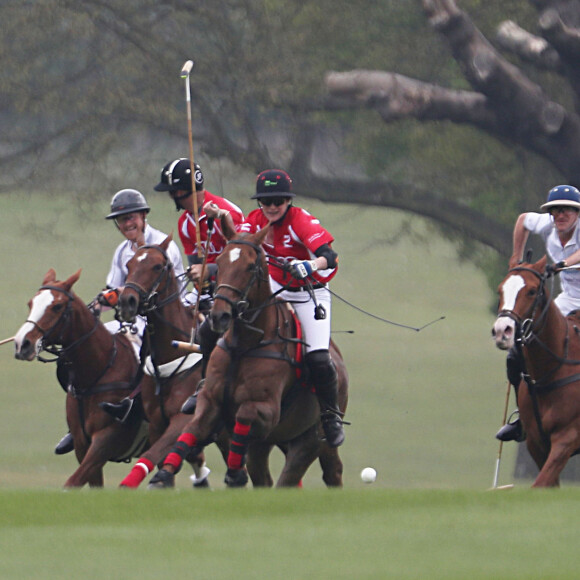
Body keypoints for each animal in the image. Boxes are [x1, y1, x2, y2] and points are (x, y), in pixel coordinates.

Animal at [13, 270, 147, 488]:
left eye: (57, 306)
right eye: (31, 303)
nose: (21, 344)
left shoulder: (105, 441)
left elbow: (72, 483)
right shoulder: (83, 445)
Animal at [116, 237, 228, 490]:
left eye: (158, 266)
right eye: (129, 264)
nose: (127, 302)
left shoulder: (183, 418)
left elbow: (156, 456)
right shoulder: (157, 423)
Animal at [146, 229, 348, 488]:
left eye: (251, 266)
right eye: (220, 261)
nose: (219, 316)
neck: (244, 345)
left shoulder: (266, 410)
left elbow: (244, 414)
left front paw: (234, 472)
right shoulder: (209, 400)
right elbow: (193, 429)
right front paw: (163, 474)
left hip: (311, 440)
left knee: (305, 474)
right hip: (270, 443)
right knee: (267, 478)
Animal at [492, 256, 580, 488]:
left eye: (532, 291)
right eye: (500, 290)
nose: (502, 331)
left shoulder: (567, 436)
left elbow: (540, 483)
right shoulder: (536, 442)